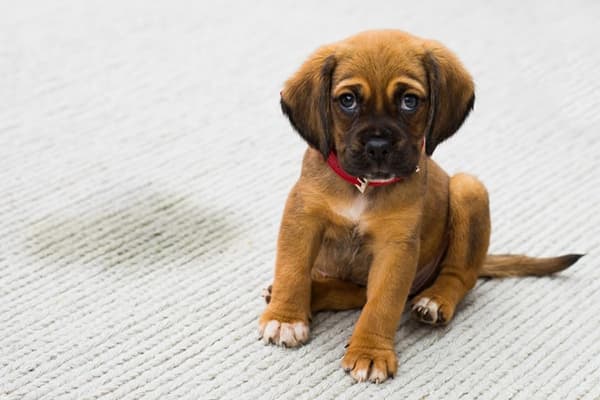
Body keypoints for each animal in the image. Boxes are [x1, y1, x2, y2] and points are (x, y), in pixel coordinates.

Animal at [258, 29, 580, 382]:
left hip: (468, 189)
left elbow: (382, 304)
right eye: (348, 101)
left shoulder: (395, 249)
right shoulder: (302, 219)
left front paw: (370, 352)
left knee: (459, 276)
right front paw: (286, 317)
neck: (363, 187)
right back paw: (309, 293)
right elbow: (292, 270)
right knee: (353, 292)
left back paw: (435, 301)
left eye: (409, 101)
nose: (378, 146)